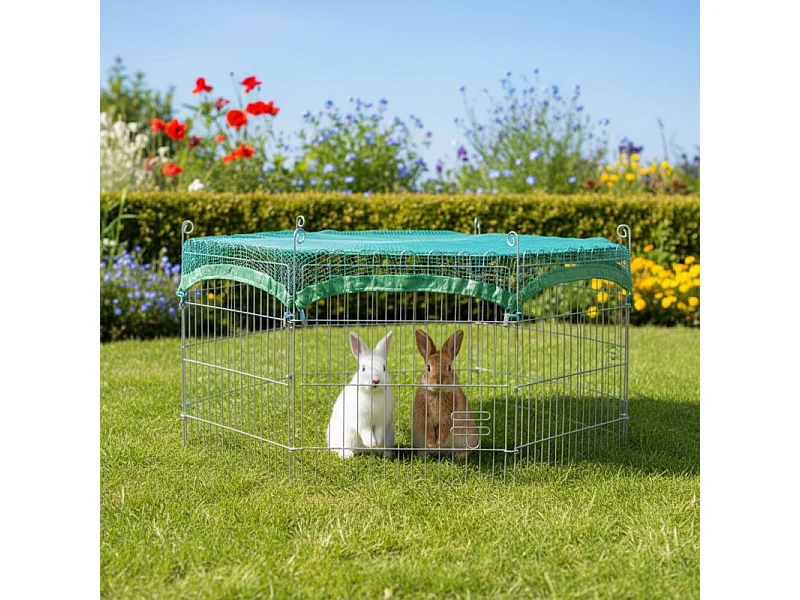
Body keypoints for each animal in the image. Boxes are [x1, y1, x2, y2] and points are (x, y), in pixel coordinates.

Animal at [412, 329, 480, 458]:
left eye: (449, 367)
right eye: (428, 367)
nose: (439, 380)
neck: (439, 393)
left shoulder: (449, 417)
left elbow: (444, 430)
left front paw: (438, 444)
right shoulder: (424, 416)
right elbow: (428, 430)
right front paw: (432, 445)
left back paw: (460, 455)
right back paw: (424, 453)